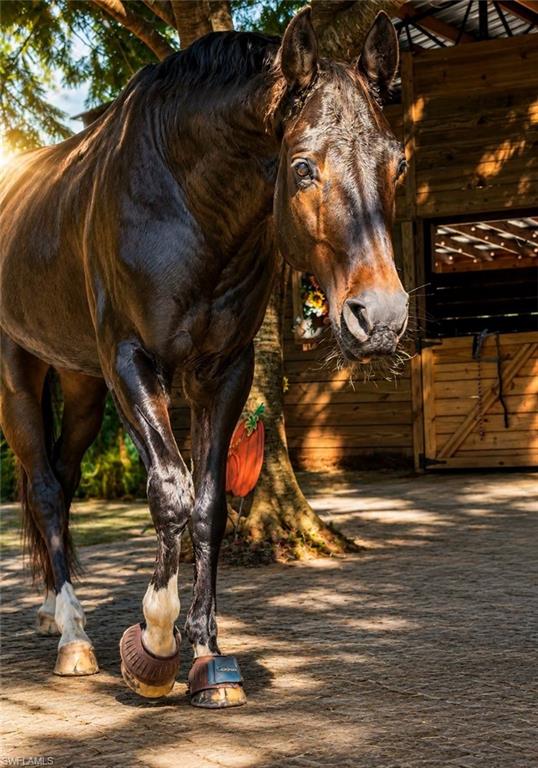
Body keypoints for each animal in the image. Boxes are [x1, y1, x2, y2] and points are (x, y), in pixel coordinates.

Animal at [0, 8, 408, 707]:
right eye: (303, 167)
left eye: (397, 163)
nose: (380, 317)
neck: (185, 202)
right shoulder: (131, 362)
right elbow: (170, 492)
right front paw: (157, 642)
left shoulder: (226, 370)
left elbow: (210, 506)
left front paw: (209, 656)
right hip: (19, 376)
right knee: (48, 489)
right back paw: (73, 637)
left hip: (79, 385)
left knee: (62, 478)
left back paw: (59, 616)